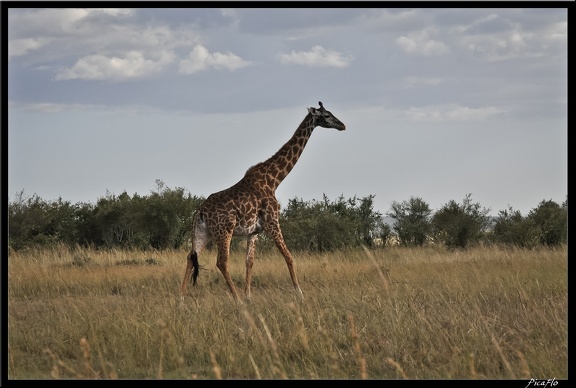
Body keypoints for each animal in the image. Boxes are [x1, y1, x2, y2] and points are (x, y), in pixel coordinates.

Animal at [178, 101, 344, 302]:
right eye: (326, 115)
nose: (342, 125)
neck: (274, 180)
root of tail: (200, 212)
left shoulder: (254, 231)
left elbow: (249, 262)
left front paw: (249, 296)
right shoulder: (273, 221)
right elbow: (288, 256)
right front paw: (299, 293)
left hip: (203, 233)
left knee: (190, 257)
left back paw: (181, 299)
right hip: (224, 230)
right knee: (221, 262)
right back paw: (236, 299)